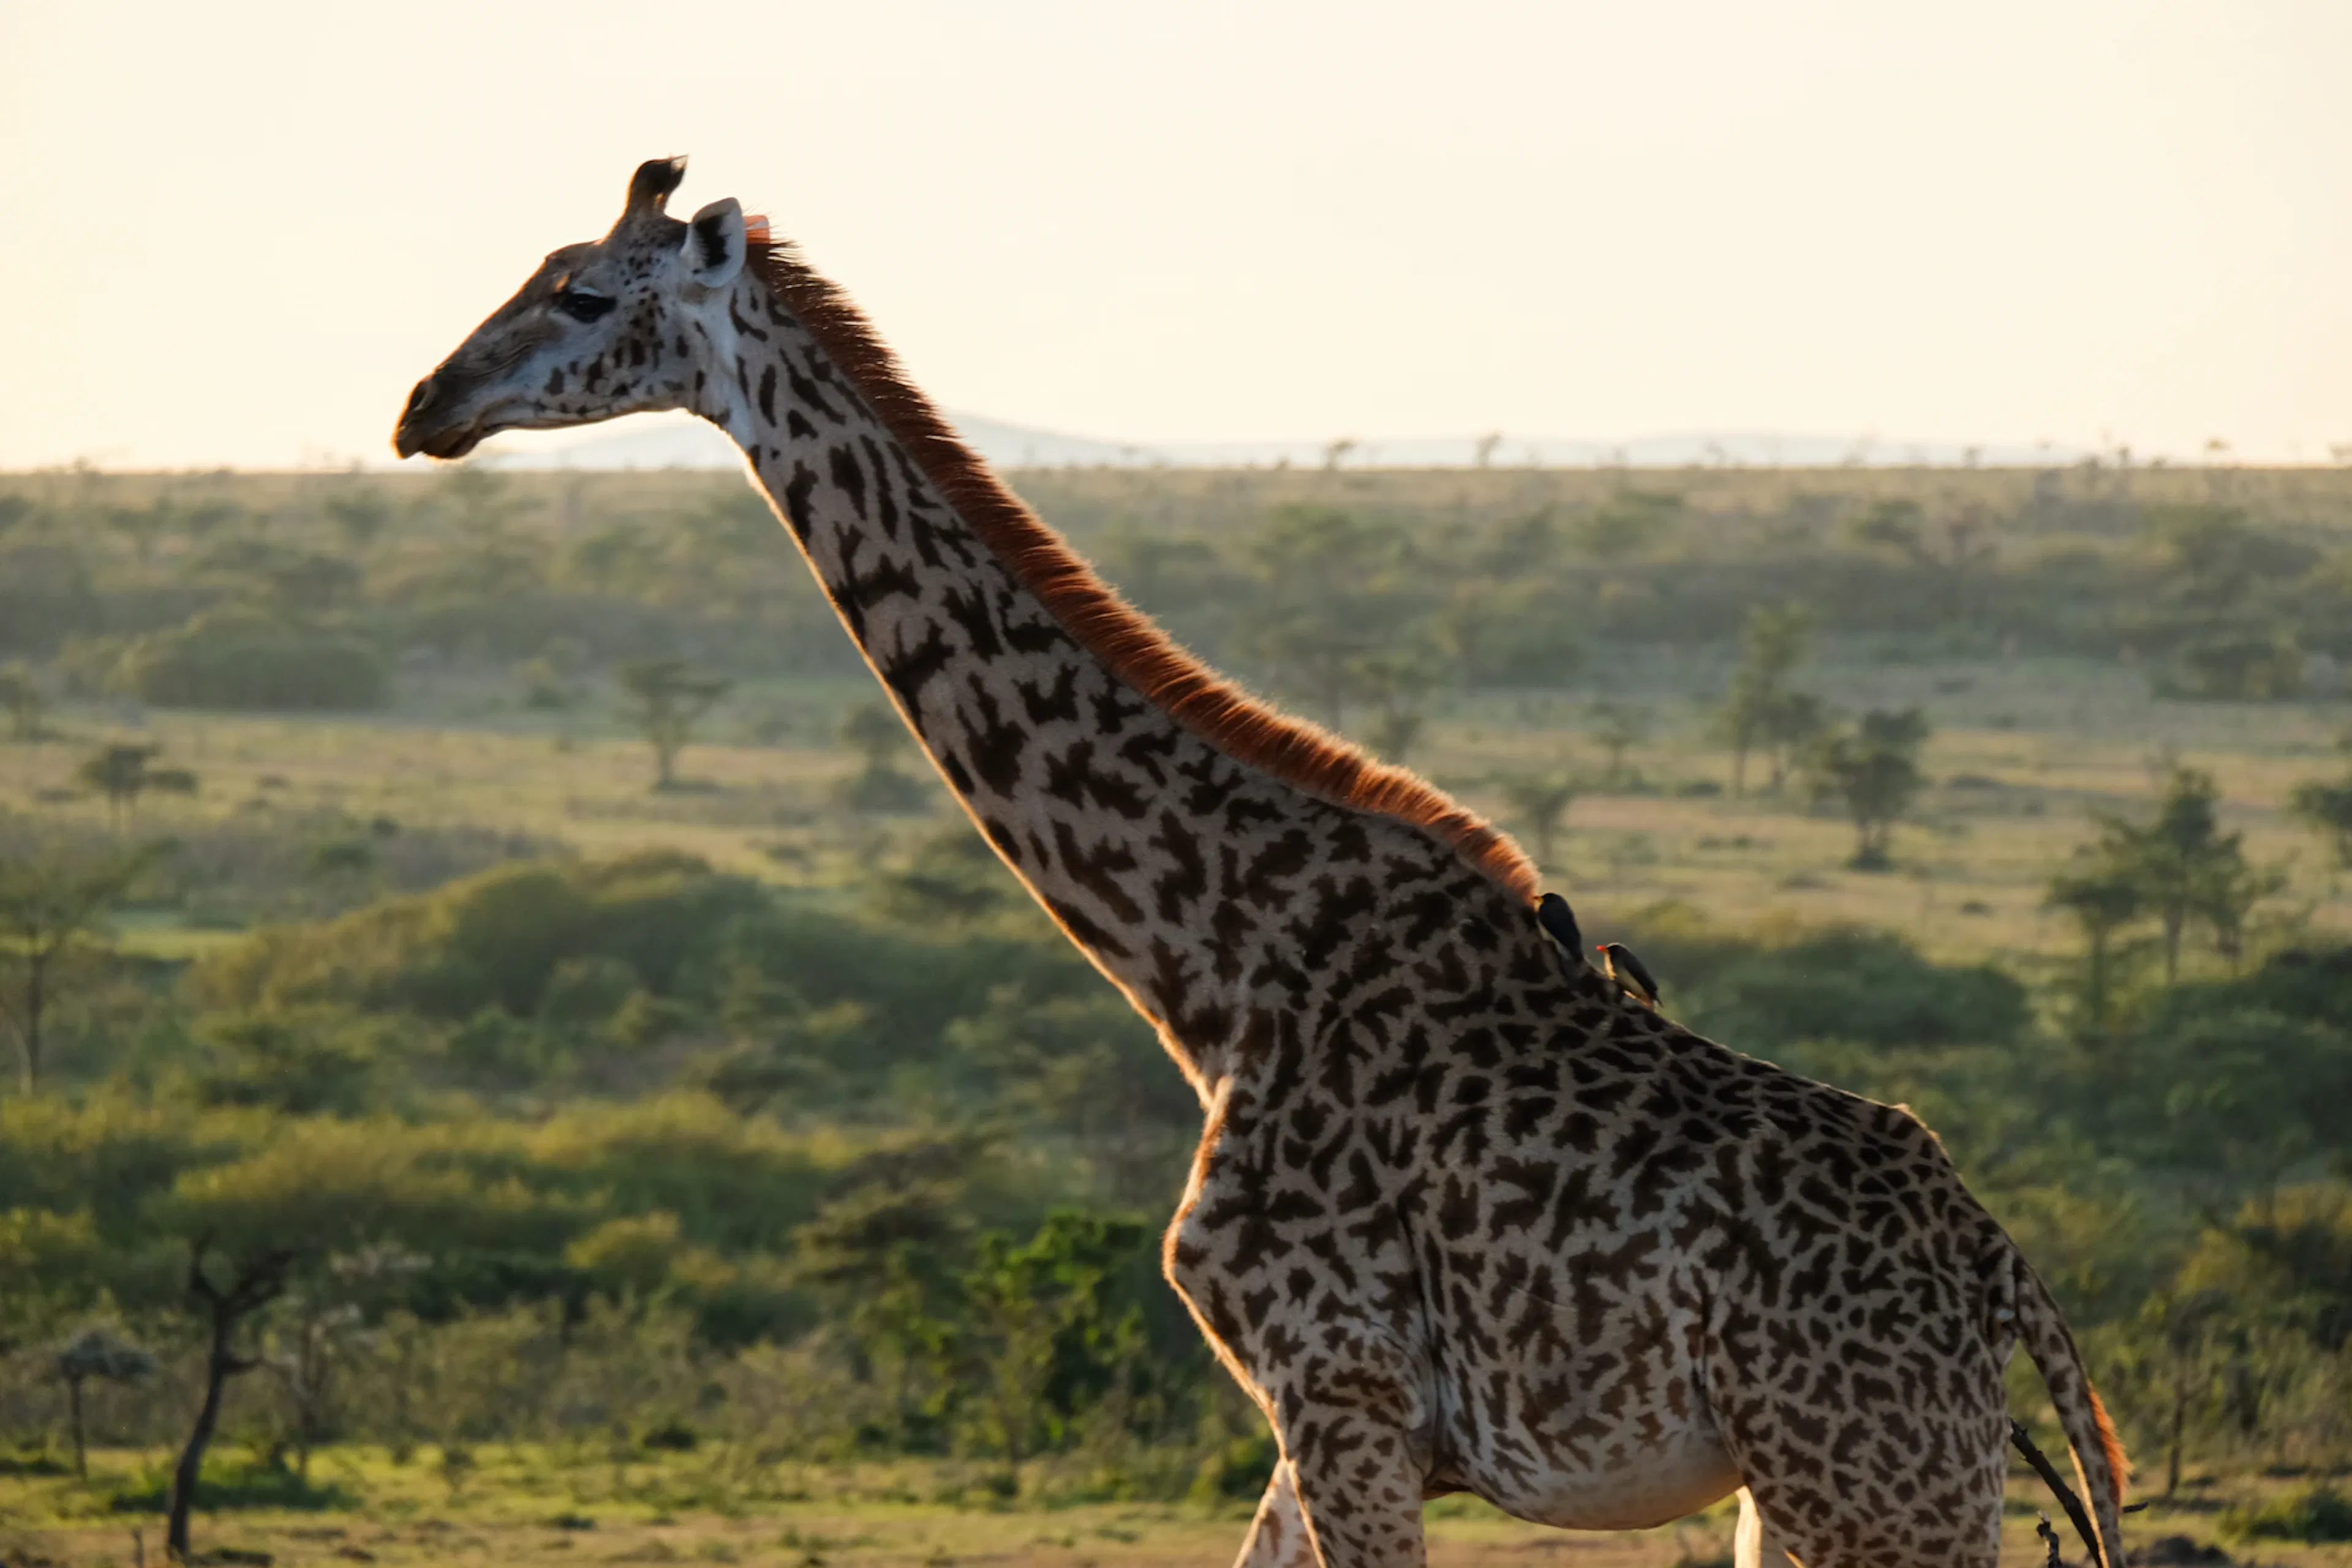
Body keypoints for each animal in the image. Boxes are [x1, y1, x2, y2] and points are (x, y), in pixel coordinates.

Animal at [395, 157, 2128, 1568]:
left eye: (583, 290)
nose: (424, 405)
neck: (1213, 959)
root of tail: (2002, 1275)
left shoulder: (1340, 1387)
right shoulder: (1306, 1423)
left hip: (1869, 1477)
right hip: (1825, 1488)